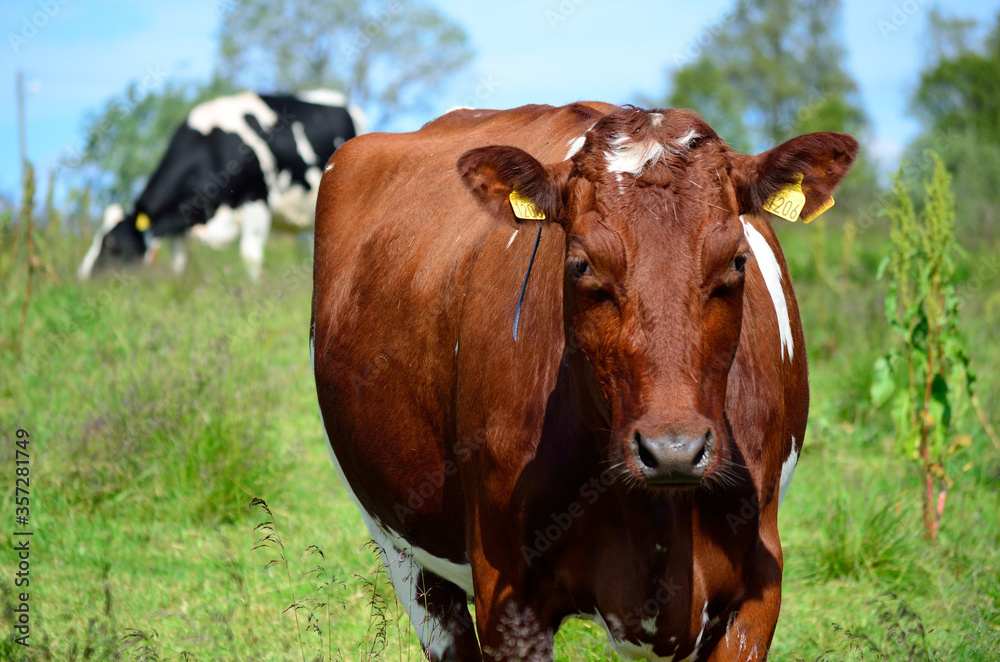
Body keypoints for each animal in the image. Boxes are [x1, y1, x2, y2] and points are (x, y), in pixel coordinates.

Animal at [80, 89, 364, 282]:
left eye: (111, 242)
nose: (83, 276)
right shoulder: (182, 222)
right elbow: (179, 261)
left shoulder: (256, 199)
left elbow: (250, 255)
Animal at [312, 104, 860, 662]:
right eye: (581, 264)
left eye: (736, 260)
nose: (674, 451)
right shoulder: (507, 599)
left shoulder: (755, 595)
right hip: (400, 548)